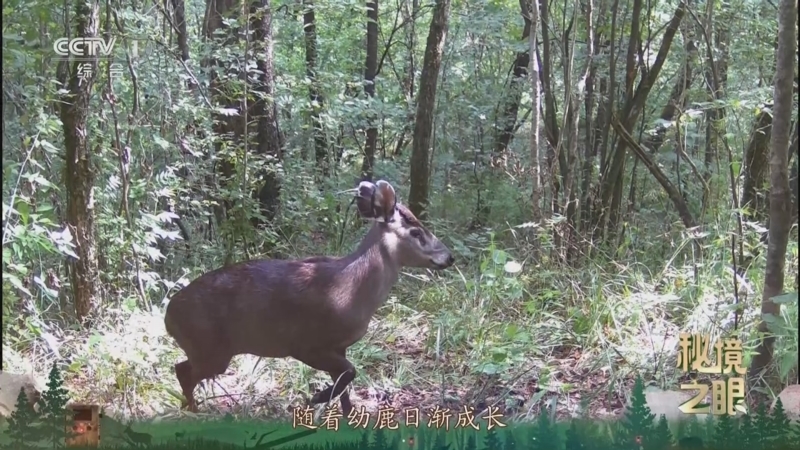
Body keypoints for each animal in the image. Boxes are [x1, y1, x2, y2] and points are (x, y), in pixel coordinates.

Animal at [164, 179, 455, 415]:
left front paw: (346, 416)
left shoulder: (339, 346)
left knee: (181, 369)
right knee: (182, 371)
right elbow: (350, 373)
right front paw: (316, 398)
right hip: (210, 348)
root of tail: (168, 316)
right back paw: (193, 412)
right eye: (416, 232)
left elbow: (345, 385)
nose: (449, 257)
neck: (352, 289)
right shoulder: (306, 344)